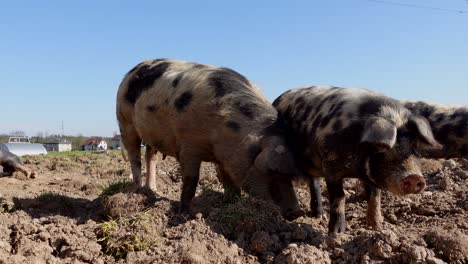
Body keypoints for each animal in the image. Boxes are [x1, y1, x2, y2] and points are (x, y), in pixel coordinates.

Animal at [115, 58, 302, 220]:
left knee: (150, 156)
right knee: (134, 157)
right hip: (124, 121)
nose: (297, 212)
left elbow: (228, 181)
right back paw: (138, 190)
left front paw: (232, 203)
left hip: (151, 135)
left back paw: (153, 190)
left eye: (291, 174)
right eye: (271, 170)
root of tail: (130, 72)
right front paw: (184, 214)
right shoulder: (188, 146)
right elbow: (191, 180)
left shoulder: (224, 157)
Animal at [272, 86, 440, 235]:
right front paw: (337, 234)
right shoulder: (330, 165)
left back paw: (319, 216)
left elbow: (375, 196)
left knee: (314, 182)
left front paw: (378, 227)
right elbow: (339, 196)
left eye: (414, 146)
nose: (414, 177)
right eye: (381, 147)